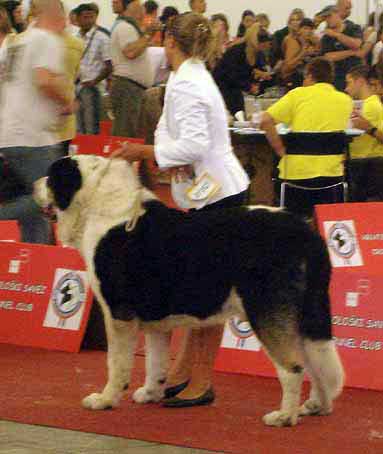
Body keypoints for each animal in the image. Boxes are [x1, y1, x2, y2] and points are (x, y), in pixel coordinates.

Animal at [33, 155, 344, 426]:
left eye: (52, 176)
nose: (34, 185)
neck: (96, 203)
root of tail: (305, 232)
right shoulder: (156, 321)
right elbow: (155, 362)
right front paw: (150, 393)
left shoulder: (118, 315)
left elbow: (116, 362)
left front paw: (105, 399)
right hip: (308, 314)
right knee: (316, 362)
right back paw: (317, 406)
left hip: (266, 312)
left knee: (294, 368)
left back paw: (284, 417)